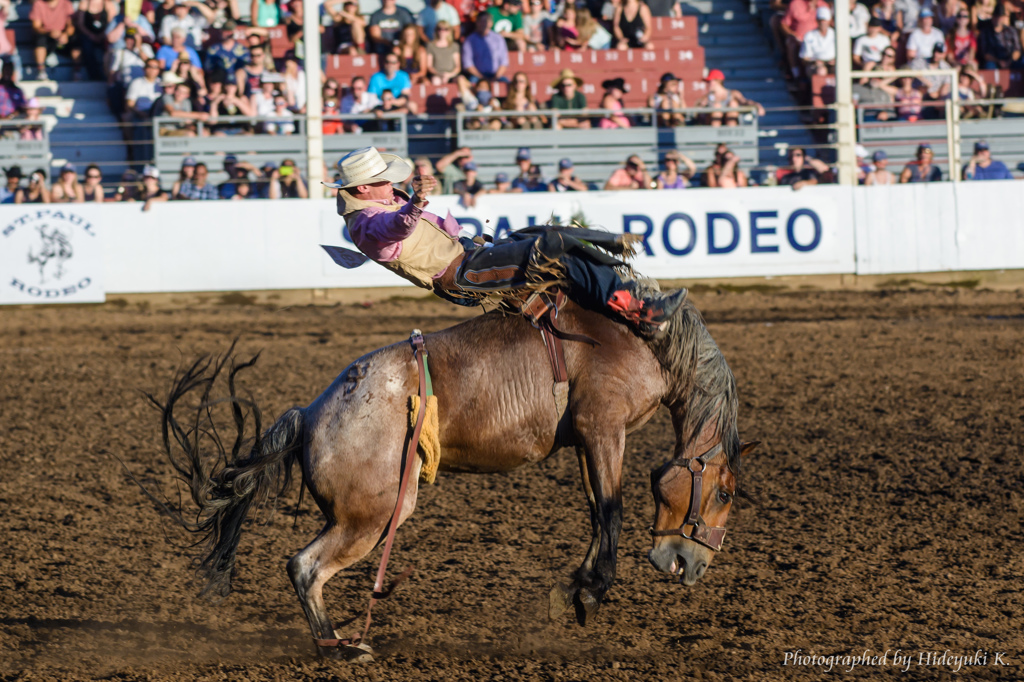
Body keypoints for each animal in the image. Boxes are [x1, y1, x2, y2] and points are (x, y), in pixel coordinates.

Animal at [148, 278, 765, 655]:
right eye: (726, 493)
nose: (690, 566)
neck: (642, 340)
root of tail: (313, 411)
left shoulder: (590, 441)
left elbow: (597, 513)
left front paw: (573, 592)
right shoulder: (602, 428)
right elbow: (611, 511)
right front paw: (590, 593)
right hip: (374, 517)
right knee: (304, 566)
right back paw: (339, 649)